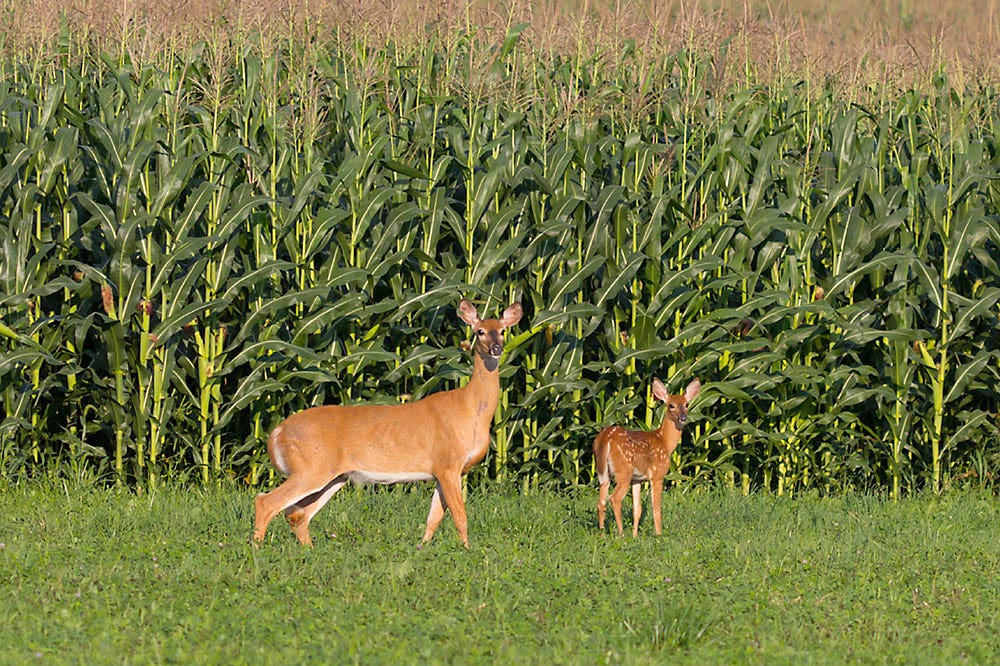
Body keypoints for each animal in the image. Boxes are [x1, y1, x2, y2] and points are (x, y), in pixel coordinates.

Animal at [254, 298, 524, 548]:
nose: (496, 348)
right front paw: (467, 551)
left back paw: (308, 550)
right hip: (310, 467)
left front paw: (423, 548)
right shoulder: (448, 463)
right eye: (480, 331)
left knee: (297, 514)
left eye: (503, 330)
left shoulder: (442, 471)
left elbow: (433, 519)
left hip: (333, 476)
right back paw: (256, 549)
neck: (469, 409)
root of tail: (276, 432)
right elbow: (460, 516)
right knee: (267, 501)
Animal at [592, 378, 704, 536]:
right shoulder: (657, 475)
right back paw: (621, 534)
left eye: (687, 404)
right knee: (614, 498)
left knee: (601, 502)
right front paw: (658, 534)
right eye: (671, 405)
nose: (683, 418)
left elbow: (637, 510)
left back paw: (602, 534)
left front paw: (635, 536)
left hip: (604, 472)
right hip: (623, 471)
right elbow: (656, 509)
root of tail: (604, 439)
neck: (665, 443)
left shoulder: (637, 479)